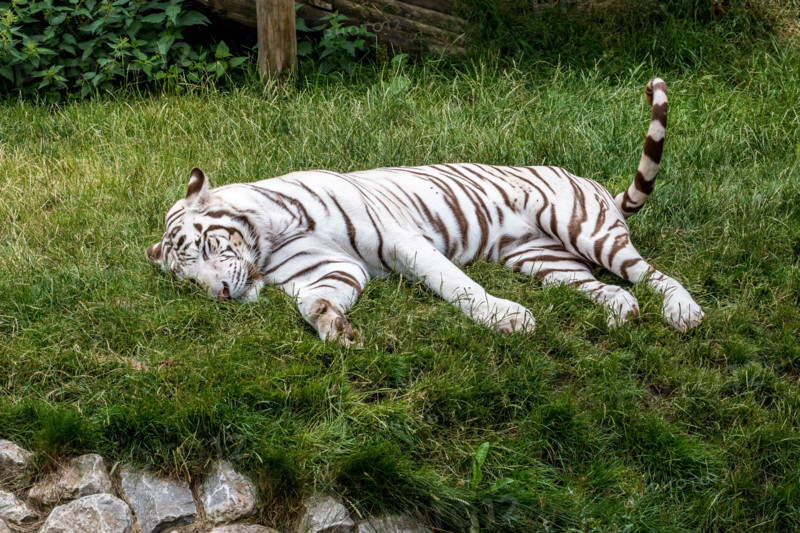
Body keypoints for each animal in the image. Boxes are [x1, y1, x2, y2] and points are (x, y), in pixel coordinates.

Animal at [146, 78, 703, 346]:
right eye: (187, 280)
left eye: (206, 246)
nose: (220, 294)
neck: (268, 241)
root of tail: (597, 186)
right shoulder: (333, 270)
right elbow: (314, 302)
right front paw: (336, 329)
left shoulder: (402, 241)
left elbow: (456, 285)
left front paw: (506, 319)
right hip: (545, 262)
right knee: (611, 289)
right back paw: (621, 314)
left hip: (585, 230)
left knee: (651, 274)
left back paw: (684, 313)